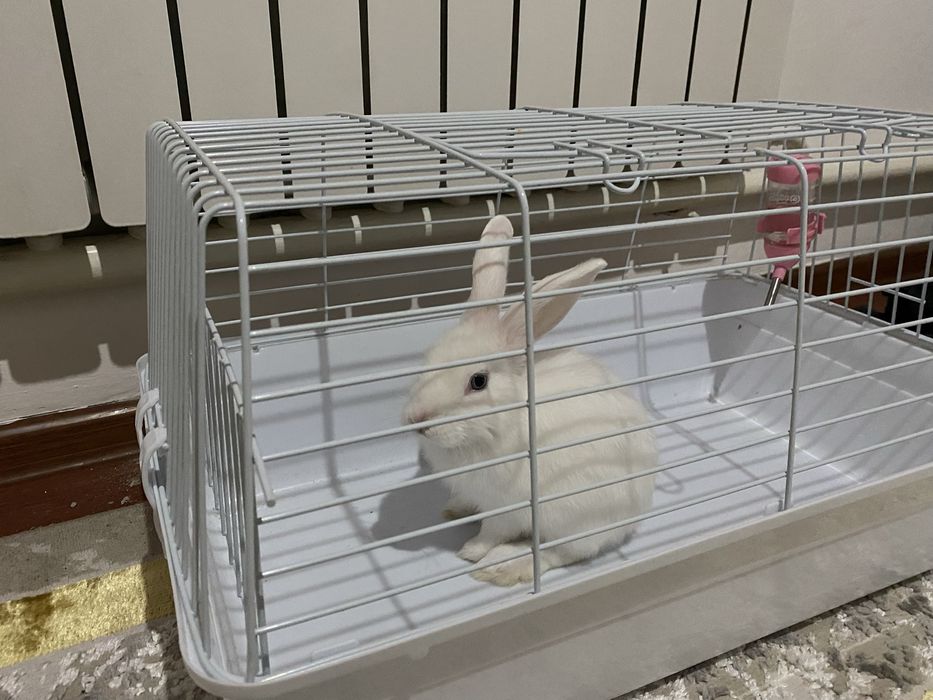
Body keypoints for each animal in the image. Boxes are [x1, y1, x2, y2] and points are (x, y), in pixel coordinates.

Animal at [403, 214, 656, 586]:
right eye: (427, 359)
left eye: (478, 382)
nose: (417, 419)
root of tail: (634, 516)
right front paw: (454, 508)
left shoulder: (505, 507)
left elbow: (491, 532)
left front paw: (470, 552)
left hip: (571, 516)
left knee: (562, 553)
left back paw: (501, 566)